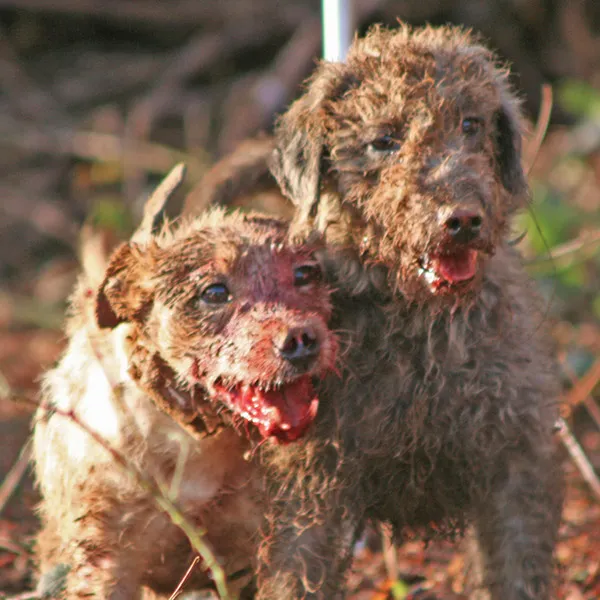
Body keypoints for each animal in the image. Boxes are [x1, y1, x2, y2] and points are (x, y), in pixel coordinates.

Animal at [31, 165, 338, 600]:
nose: (301, 339)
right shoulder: (103, 550)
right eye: (215, 292)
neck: (195, 440)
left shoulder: (285, 535)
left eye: (305, 273)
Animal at [183, 22, 564, 596]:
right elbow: (298, 573)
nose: (462, 220)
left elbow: (517, 569)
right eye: (384, 141)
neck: (422, 326)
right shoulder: (311, 492)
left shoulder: (514, 466)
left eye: (471, 124)